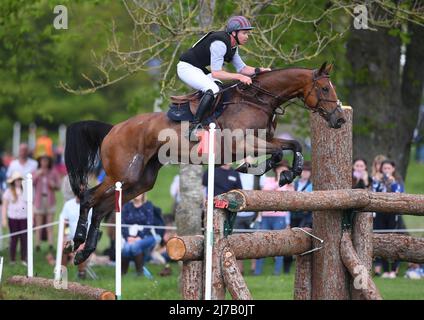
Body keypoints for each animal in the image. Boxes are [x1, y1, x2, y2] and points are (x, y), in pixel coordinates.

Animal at [65, 61, 344, 264]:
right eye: (325, 89)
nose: (339, 119)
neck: (257, 100)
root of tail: (113, 129)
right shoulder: (242, 144)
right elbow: (280, 151)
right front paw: (265, 170)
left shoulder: (266, 139)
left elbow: (292, 145)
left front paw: (286, 173)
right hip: (123, 174)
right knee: (89, 198)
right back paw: (76, 241)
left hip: (141, 181)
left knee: (101, 207)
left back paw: (84, 252)